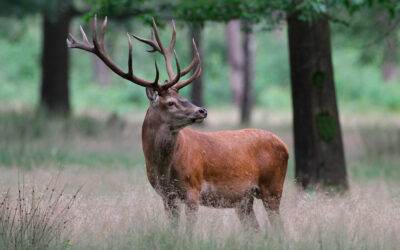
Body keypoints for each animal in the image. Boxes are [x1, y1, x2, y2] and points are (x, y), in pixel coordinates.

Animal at [67, 16, 290, 230]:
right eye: (171, 102)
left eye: (182, 97)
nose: (202, 110)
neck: (164, 168)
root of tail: (285, 146)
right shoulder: (167, 196)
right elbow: (173, 230)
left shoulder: (193, 188)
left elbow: (189, 231)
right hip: (244, 199)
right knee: (256, 229)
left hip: (273, 186)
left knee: (278, 227)